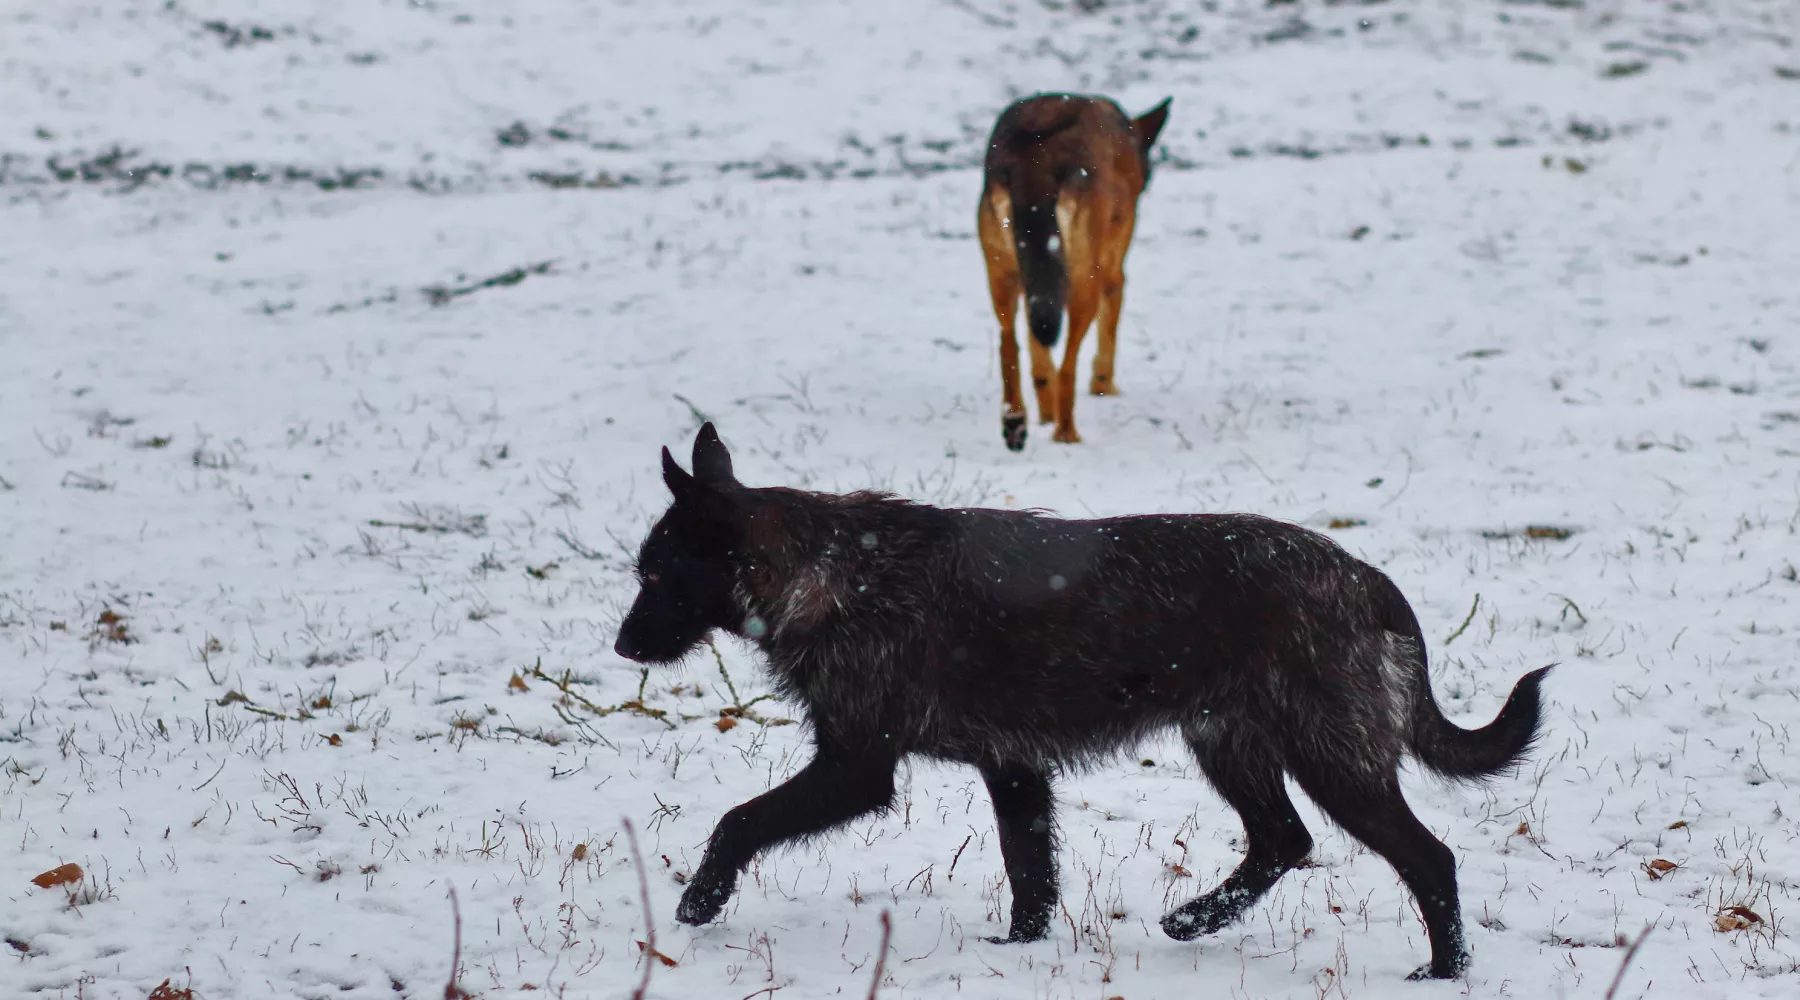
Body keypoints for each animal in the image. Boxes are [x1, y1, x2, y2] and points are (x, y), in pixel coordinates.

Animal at [615, 426, 1548, 978]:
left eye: (657, 576)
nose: (623, 647)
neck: (833, 569)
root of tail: (1368, 581)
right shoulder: (1013, 769)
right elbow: (1031, 874)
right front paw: (1018, 955)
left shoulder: (855, 768)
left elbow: (739, 821)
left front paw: (698, 902)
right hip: (1229, 743)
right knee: (1283, 839)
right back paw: (1196, 920)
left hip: (1330, 760)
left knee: (1427, 859)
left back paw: (1444, 973)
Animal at [979, 94, 1173, 449]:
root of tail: (1037, 160)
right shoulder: (1113, 273)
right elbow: (1107, 336)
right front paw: (1102, 387)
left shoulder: (1037, 284)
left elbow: (1039, 361)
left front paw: (1044, 415)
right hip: (1083, 284)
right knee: (1068, 366)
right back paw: (1066, 434)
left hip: (1002, 274)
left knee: (1008, 345)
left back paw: (1015, 421)